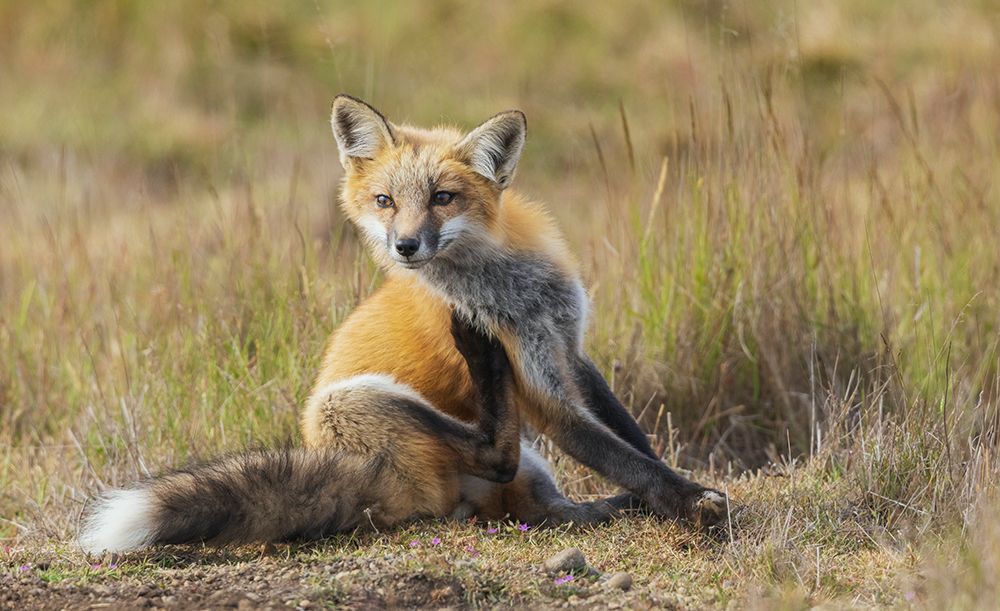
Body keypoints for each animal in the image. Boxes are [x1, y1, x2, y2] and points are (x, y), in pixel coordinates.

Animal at [78, 95, 726, 554]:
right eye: (385, 201)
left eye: (443, 198)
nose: (406, 247)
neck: (512, 289)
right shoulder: (543, 391)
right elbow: (619, 454)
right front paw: (691, 502)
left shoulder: (570, 348)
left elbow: (632, 437)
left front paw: (677, 492)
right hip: (355, 402)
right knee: (496, 451)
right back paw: (480, 354)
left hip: (526, 472)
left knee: (550, 508)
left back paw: (614, 507)